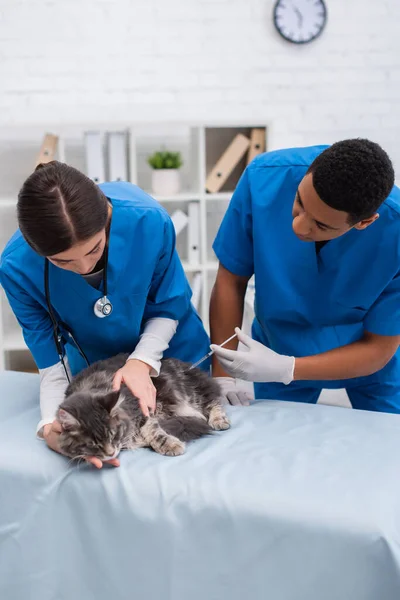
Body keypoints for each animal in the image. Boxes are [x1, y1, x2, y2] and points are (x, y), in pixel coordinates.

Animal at [57, 354, 230, 462]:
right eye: (92, 444)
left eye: (113, 434)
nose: (110, 453)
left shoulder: (143, 410)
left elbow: (154, 432)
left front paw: (171, 445)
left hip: (191, 391)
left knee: (213, 402)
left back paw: (219, 420)